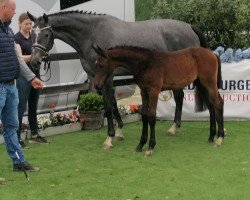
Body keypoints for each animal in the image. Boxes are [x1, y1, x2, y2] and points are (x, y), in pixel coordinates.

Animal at [27, 10, 207, 149]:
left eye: (46, 34)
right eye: (31, 34)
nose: (35, 61)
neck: (91, 34)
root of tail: (189, 27)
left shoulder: (107, 77)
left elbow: (108, 107)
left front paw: (109, 137)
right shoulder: (95, 78)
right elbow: (113, 104)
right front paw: (119, 132)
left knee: (180, 97)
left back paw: (174, 127)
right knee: (179, 97)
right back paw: (174, 127)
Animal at [92, 45, 225, 156]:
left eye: (101, 65)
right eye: (95, 64)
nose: (97, 85)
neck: (146, 63)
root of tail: (213, 54)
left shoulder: (154, 91)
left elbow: (151, 116)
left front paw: (150, 147)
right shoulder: (144, 92)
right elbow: (144, 115)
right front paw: (141, 144)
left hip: (209, 83)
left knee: (219, 103)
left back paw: (219, 138)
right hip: (201, 84)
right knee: (211, 105)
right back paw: (211, 136)